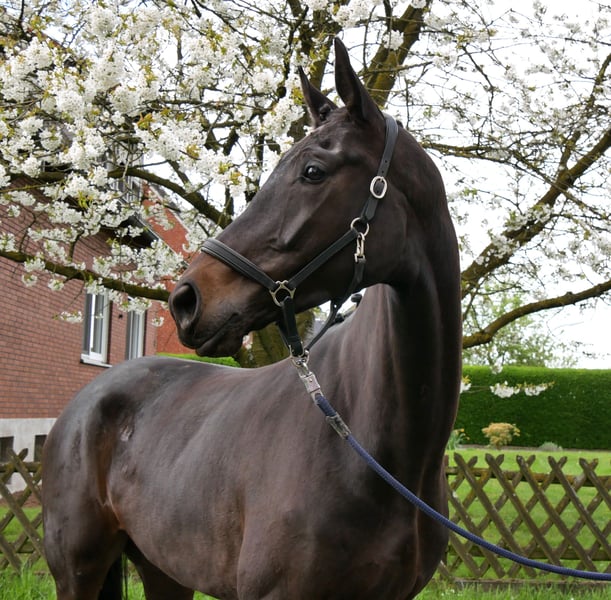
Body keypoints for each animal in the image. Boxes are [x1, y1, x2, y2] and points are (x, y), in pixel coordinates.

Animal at [42, 38, 462, 600]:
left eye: (313, 171)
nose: (186, 300)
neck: (380, 447)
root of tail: (84, 403)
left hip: (161, 568)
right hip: (78, 572)